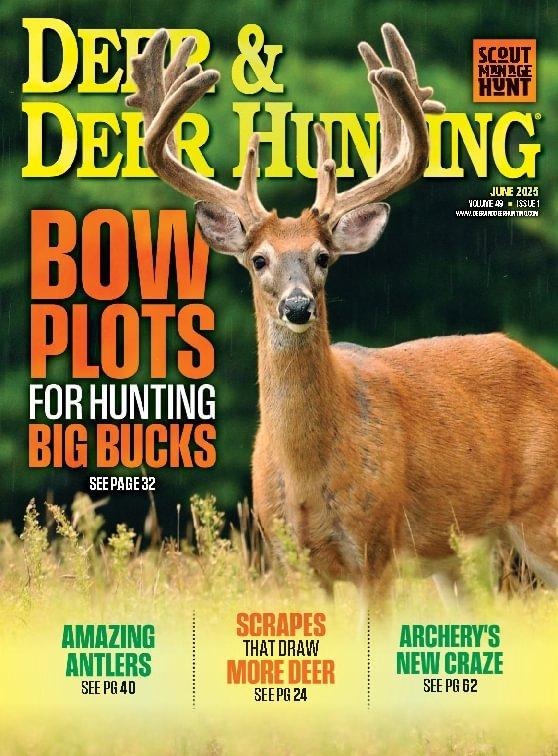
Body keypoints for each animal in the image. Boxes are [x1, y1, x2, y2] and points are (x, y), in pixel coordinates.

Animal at [127, 24, 558, 602]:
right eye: (259, 259)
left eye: (323, 258)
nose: (298, 305)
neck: (307, 473)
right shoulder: (291, 558)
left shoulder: (377, 547)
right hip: (459, 554)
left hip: (540, 514)